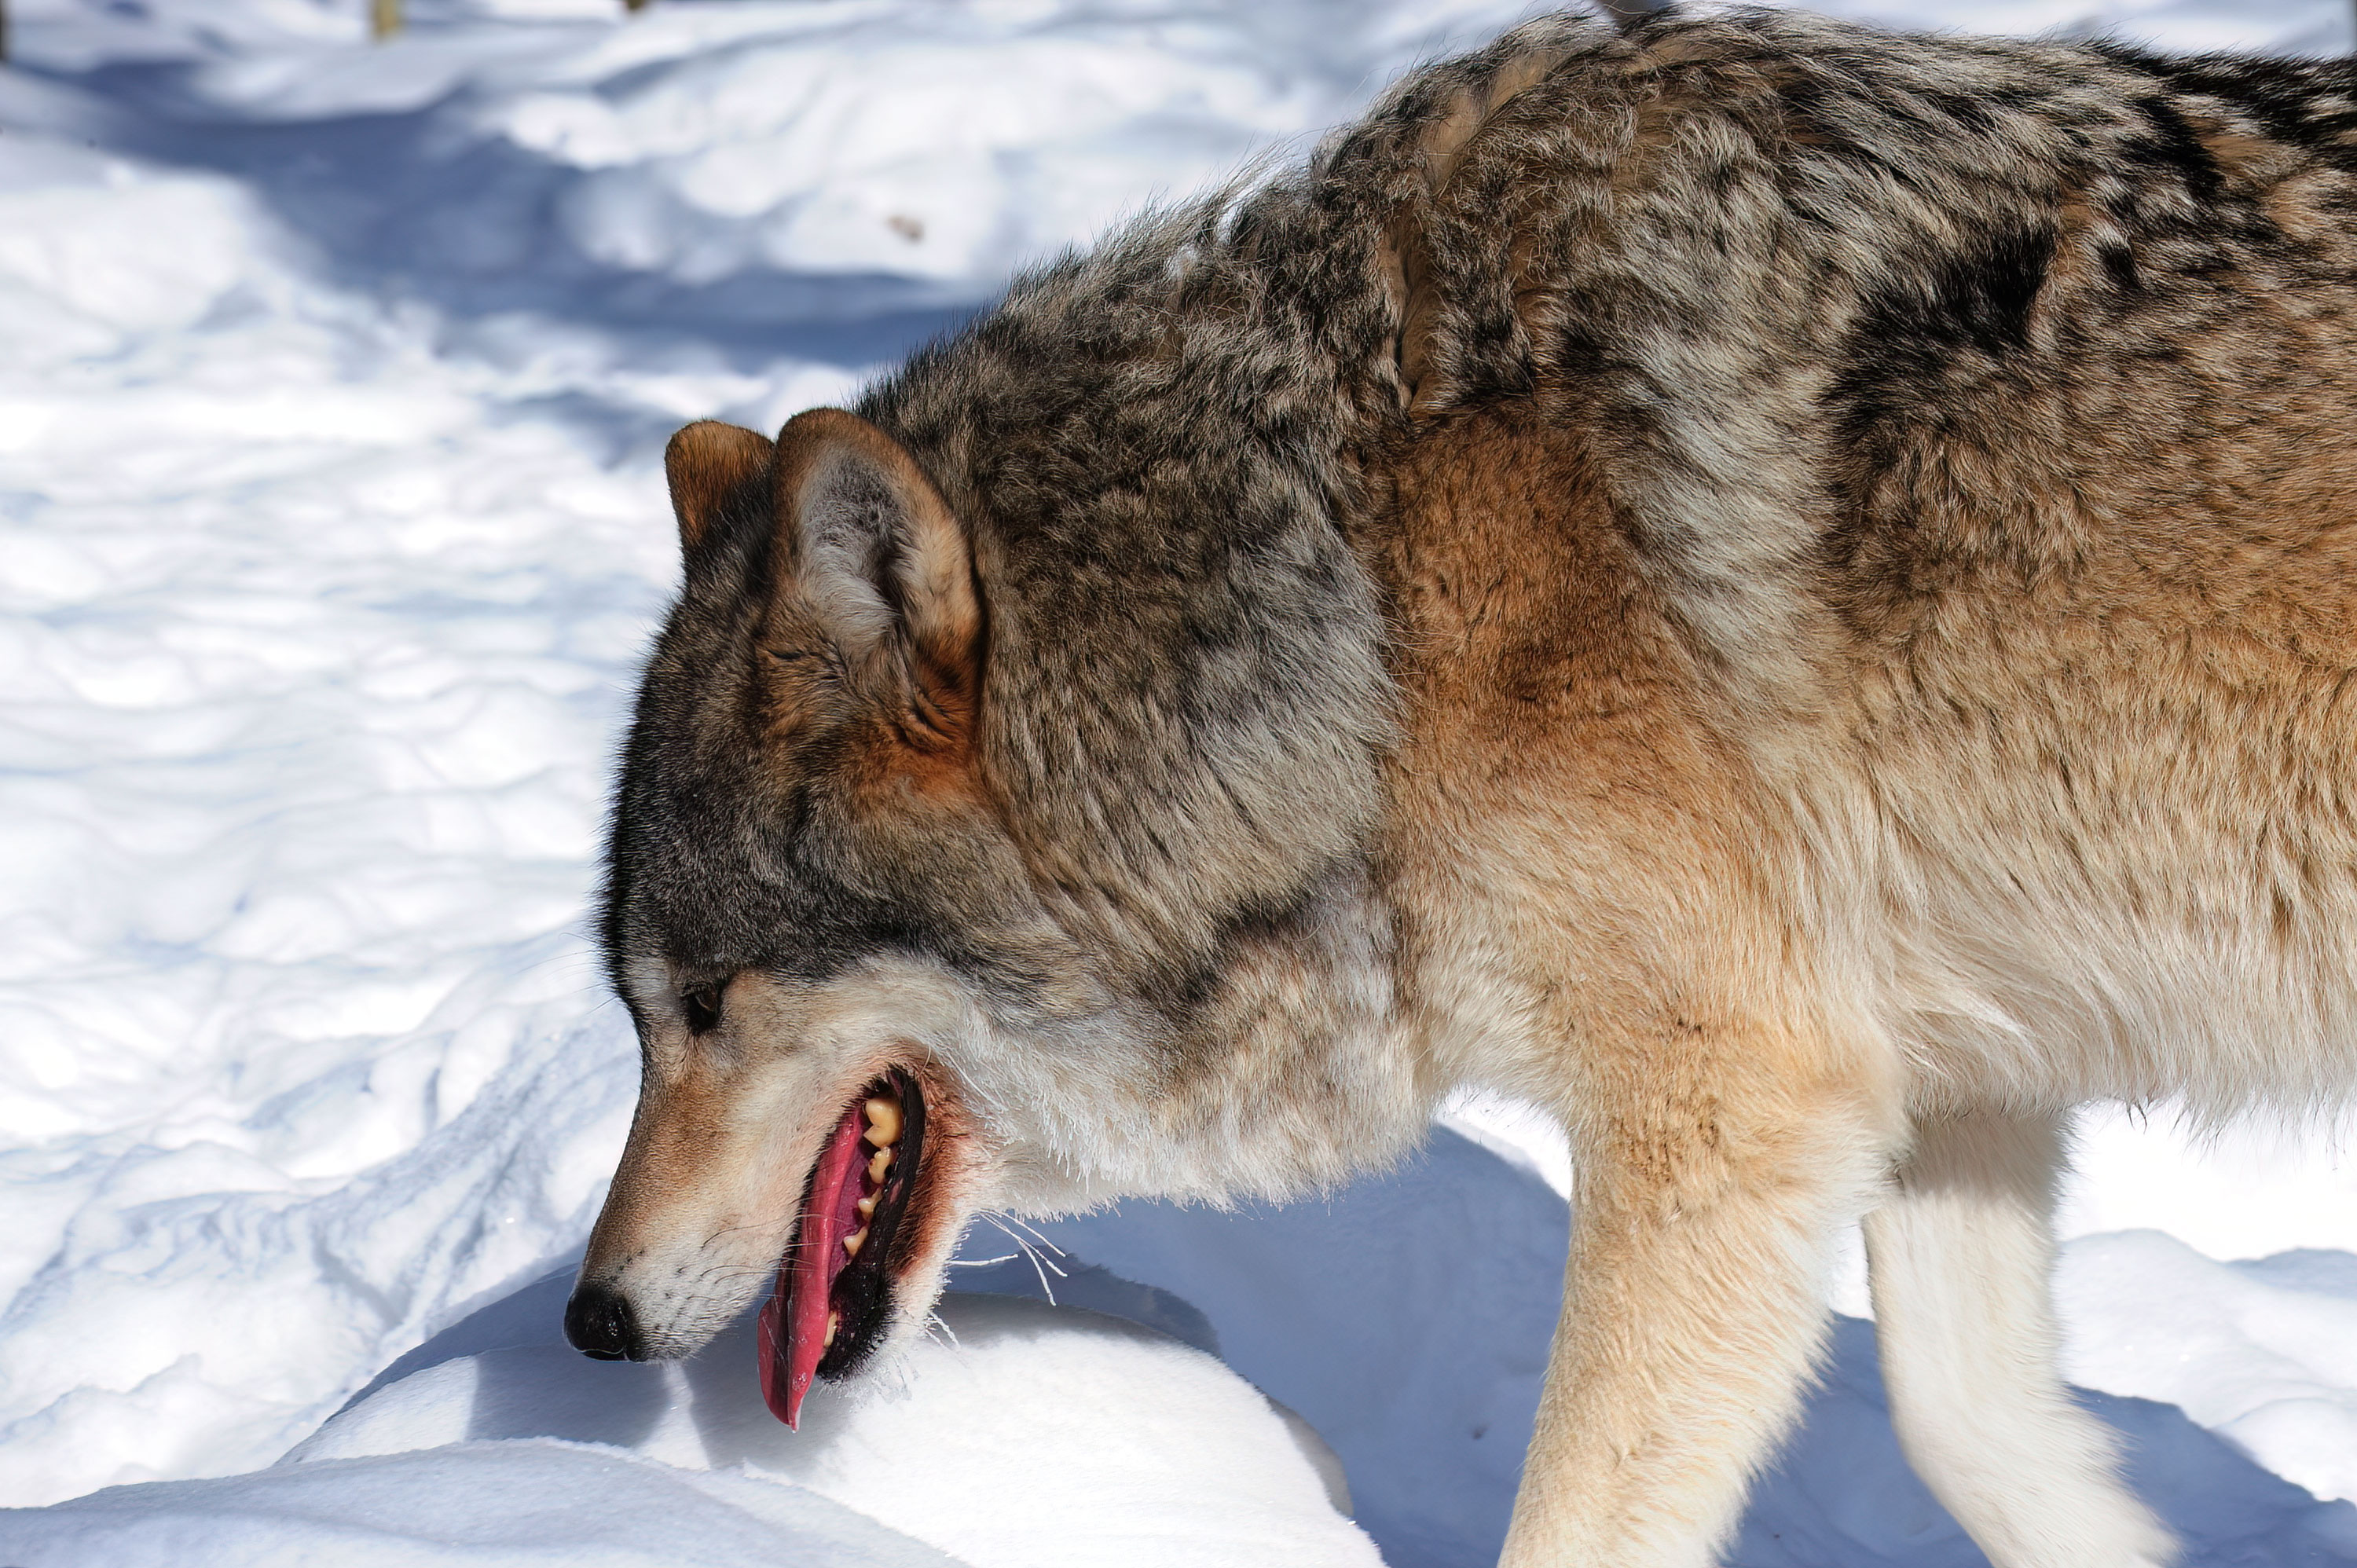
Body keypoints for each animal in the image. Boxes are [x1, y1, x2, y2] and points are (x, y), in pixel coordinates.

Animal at [563, 8, 2357, 1564]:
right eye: (638, 1012)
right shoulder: (1948, 1084)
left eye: (710, 1002)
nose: (590, 1318)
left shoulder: (1729, 1110)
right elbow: (1972, 1434)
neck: (1368, 600)